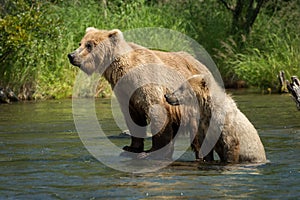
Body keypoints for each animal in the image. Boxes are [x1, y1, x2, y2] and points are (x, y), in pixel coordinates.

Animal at [68, 27, 212, 160]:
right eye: (80, 43)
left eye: (89, 45)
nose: (71, 55)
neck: (124, 73)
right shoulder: (124, 91)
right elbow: (132, 117)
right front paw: (131, 148)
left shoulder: (147, 82)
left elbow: (157, 113)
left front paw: (151, 152)